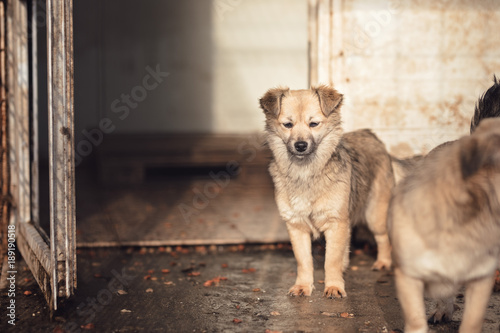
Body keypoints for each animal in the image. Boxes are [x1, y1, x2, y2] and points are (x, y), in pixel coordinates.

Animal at [260, 84, 392, 296]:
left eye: (314, 124)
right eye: (288, 125)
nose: (300, 145)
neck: (305, 172)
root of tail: (371, 134)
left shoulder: (336, 222)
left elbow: (331, 259)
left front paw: (334, 286)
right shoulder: (296, 225)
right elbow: (304, 260)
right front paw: (303, 285)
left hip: (375, 214)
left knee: (383, 237)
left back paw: (383, 262)